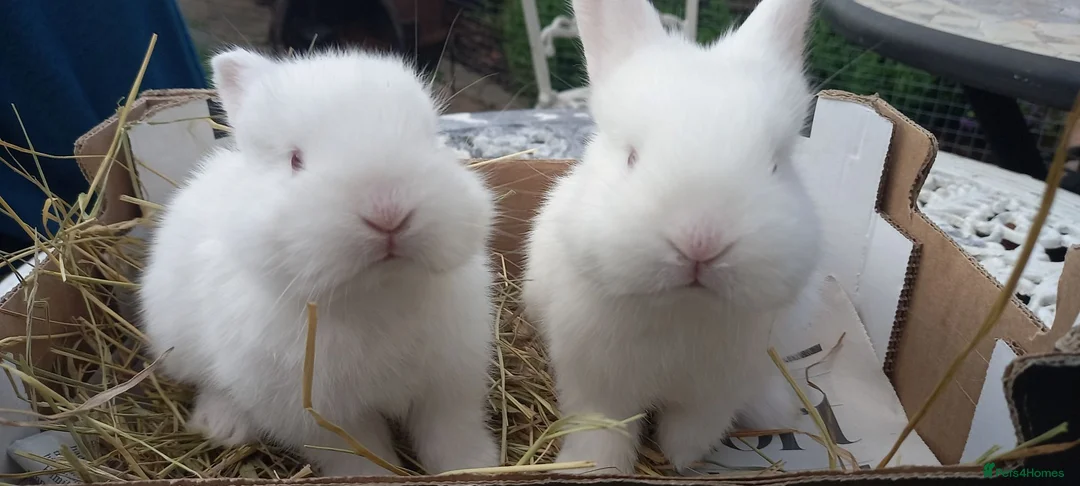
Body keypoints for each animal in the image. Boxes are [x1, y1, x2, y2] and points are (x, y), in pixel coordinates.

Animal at [137, 47, 499, 477]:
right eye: (295, 160)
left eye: (431, 141)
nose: (389, 213)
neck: (377, 294)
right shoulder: (318, 417)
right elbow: (358, 455)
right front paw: (376, 477)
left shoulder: (450, 385)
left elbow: (450, 435)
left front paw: (477, 466)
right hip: (179, 342)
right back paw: (222, 427)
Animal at [521, 0, 821, 474]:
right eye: (631, 157)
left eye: (776, 165)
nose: (701, 244)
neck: (682, 308)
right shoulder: (594, 382)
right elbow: (602, 430)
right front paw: (598, 467)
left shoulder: (717, 393)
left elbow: (692, 431)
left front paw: (680, 462)